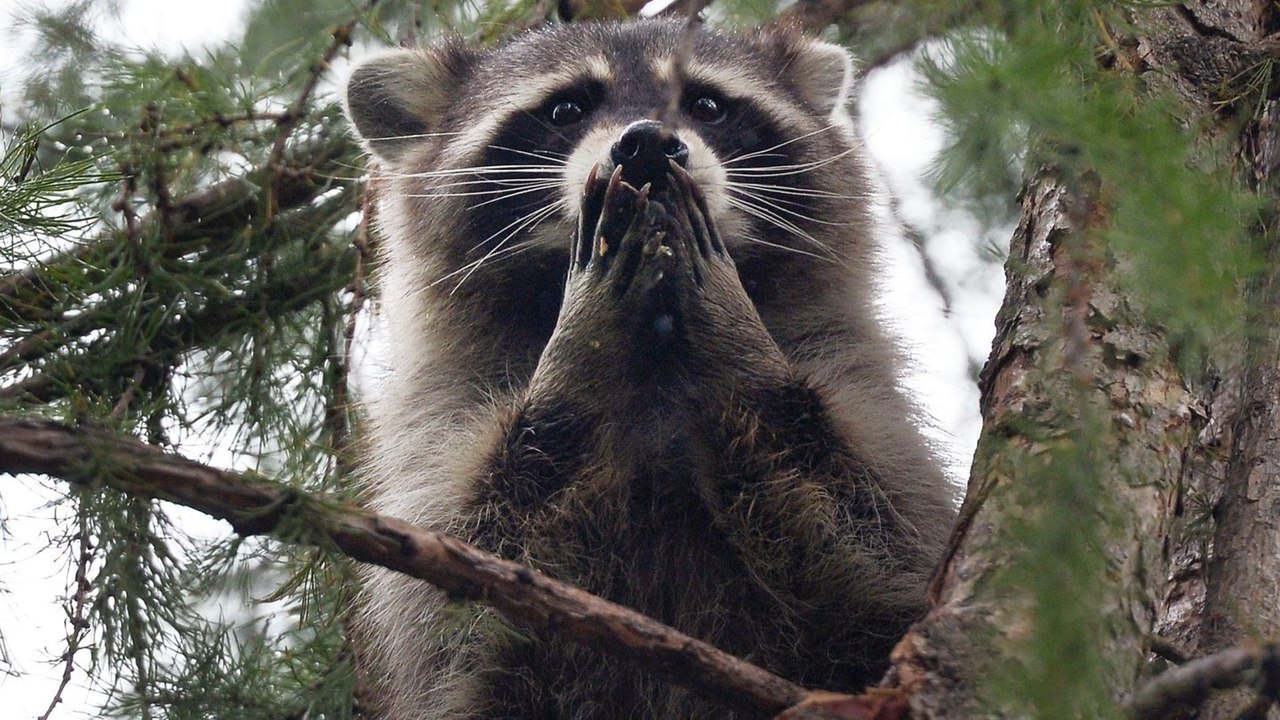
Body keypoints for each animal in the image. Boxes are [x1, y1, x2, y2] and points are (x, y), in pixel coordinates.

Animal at [343, 19, 956, 720]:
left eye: (706, 105)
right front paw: (581, 354)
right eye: (566, 109)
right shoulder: (439, 418)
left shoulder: (853, 371)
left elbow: (878, 565)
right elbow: (467, 618)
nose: (647, 144)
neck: (656, 348)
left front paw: (738, 345)